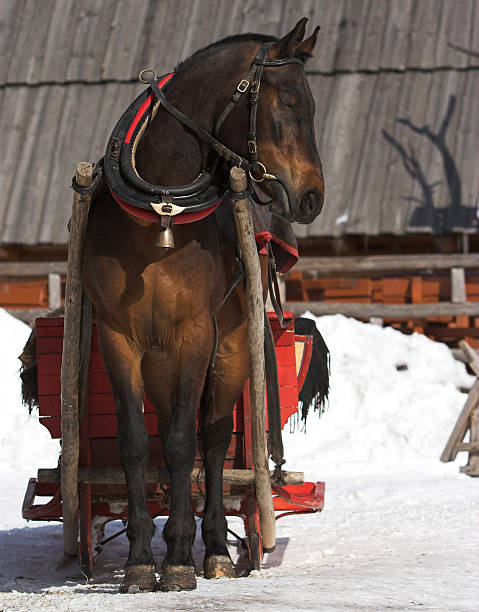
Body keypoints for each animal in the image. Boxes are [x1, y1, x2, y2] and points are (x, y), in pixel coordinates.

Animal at [81, 17, 326, 592]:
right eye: (286, 104)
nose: (313, 197)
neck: (160, 212)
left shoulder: (195, 334)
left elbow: (183, 444)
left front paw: (175, 560)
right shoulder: (118, 336)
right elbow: (136, 440)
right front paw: (140, 559)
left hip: (229, 349)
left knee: (211, 439)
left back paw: (211, 548)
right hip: (161, 360)